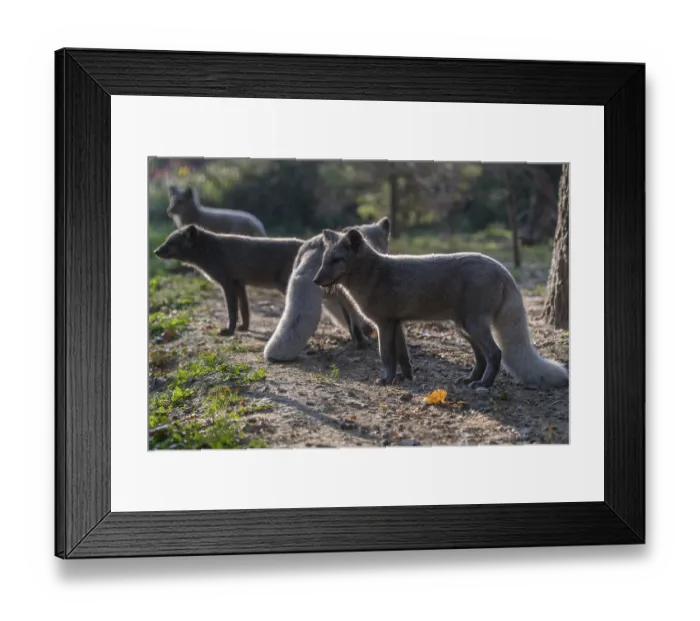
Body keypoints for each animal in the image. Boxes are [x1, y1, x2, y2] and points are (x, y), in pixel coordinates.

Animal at [313, 227, 569, 390]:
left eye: (336, 260)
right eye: (324, 260)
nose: (315, 280)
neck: (373, 273)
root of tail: (503, 270)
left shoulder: (384, 324)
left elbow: (386, 356)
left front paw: (387, 380)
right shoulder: (397, 323)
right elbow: (403, 357)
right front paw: (406, 378)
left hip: (473, 325)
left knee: (495, 354)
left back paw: (484, 385)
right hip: (464, 328)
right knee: (481, 357)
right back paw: (469, 379)